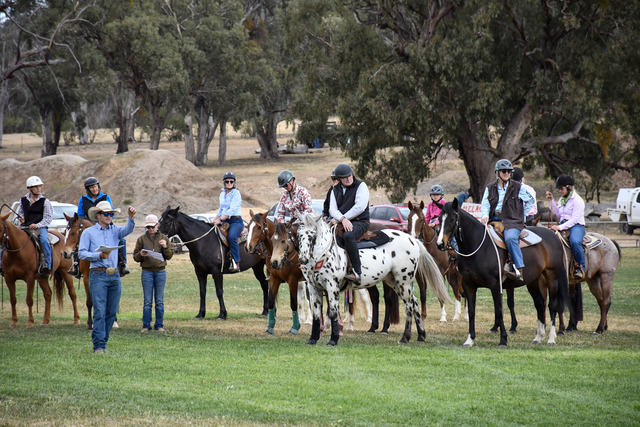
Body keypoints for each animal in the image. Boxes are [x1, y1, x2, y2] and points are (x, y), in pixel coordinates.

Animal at [436, 201, 568, 348]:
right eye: (439, 219)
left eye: (452, 219)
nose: (440, 243)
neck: (478, 247)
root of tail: (553, 235)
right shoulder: (468, 285)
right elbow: (471, 311)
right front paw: (470, 339)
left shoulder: (495, 284)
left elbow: (499, 309)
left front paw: (503, 339)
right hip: (533, 281)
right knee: (539, 303)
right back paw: (538, 337)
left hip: (552, 277)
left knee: (552, 305)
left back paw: (551, 337)